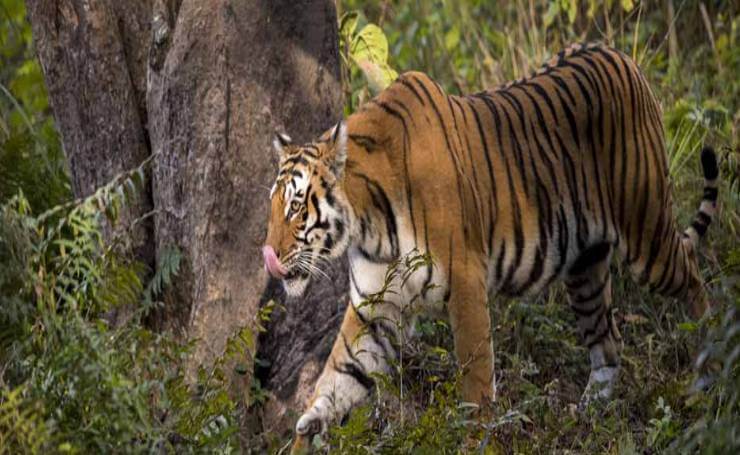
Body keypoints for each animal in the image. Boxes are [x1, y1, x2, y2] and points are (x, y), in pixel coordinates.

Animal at [260, 41, 716, 448]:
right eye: (274, 206)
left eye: (297, 207)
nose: (270, 258)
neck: (369, 222)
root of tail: (622, 56)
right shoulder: (374, 306)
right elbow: (338, 376)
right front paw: (308, 428)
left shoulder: (465, 284)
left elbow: (476, 380)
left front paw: (476, 439)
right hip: (585, 268)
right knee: (608, 342)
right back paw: (590, 414)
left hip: (646, 234)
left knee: (694, 276)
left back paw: (708, 371)